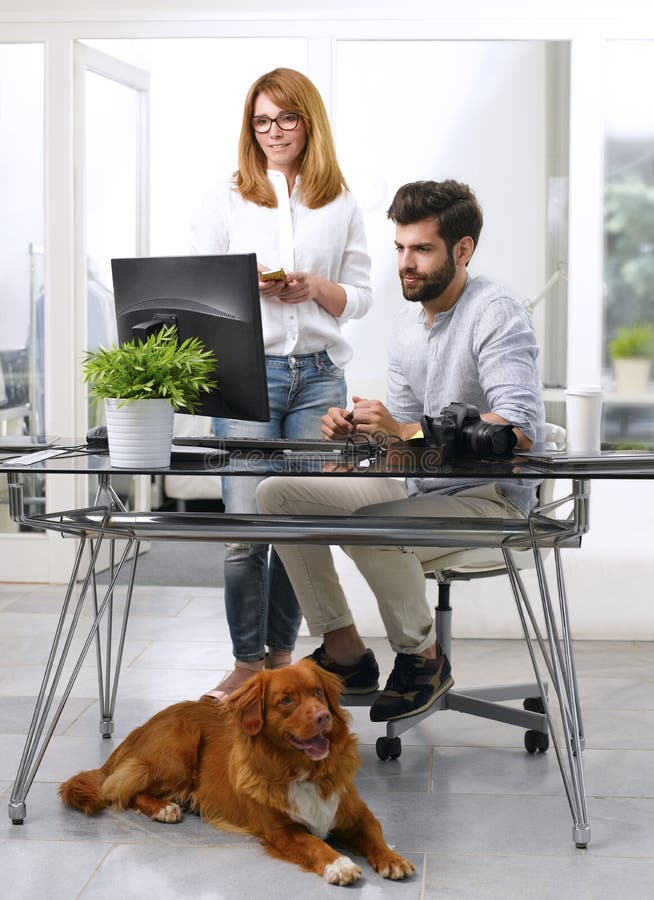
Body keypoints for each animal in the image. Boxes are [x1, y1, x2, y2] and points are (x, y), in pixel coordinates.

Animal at [57, 656, 416, 884]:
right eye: (286, 700)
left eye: (317, 693)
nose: (323, 717)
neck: (302, 770)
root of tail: (141, 728)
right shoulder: (280, 831)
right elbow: (315, 844)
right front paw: (339, 865)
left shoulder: (355, 812)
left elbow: (375, 835)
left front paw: (392, 860)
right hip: (179, 748)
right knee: (122, 790)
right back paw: (164, 808)